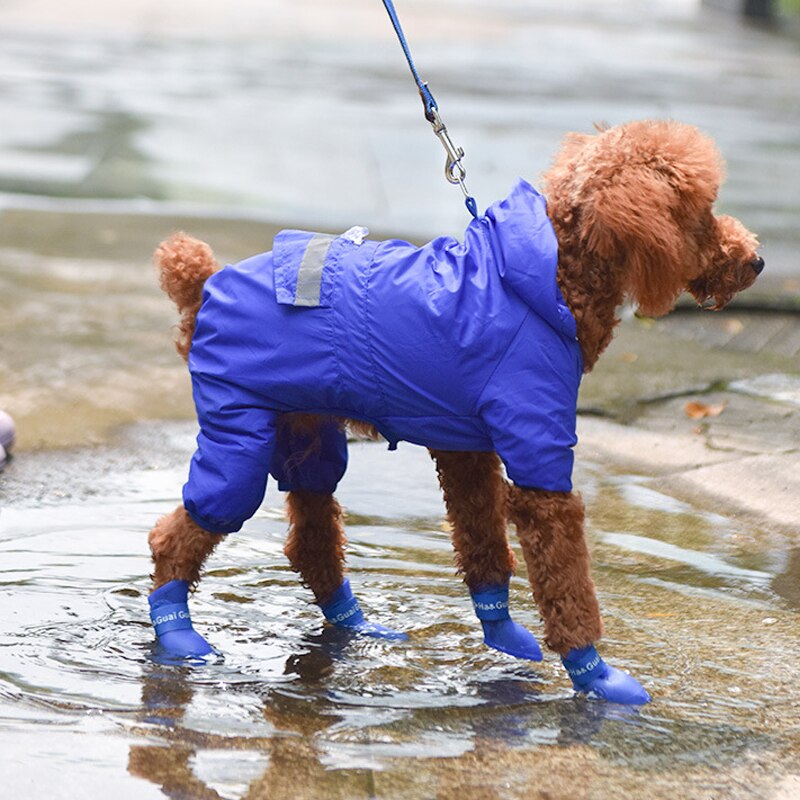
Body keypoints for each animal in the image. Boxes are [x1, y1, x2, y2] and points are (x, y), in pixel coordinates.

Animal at [148, 115, 764, 704]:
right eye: (699, 211)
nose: (756, 261)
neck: (549, 277)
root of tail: (202, 288)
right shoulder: (538, 460)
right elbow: (564, 582)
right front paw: (595, 674)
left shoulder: (467, 446)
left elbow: (483, 541)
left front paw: (504, 635)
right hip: (240, 432)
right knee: (180, 534)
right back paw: (178, 635)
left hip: (303, 430)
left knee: (312, 538)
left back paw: (359, 627)